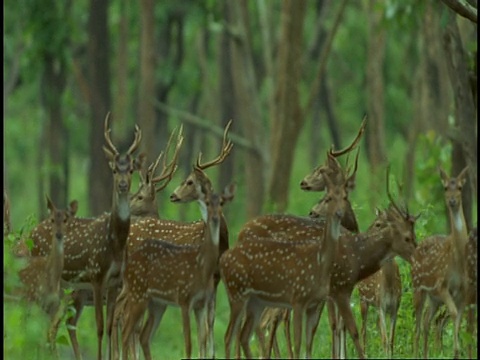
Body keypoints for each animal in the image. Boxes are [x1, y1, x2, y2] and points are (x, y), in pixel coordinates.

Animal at [18, 195, 76, 356]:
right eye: (51, 219)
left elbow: (44, 339)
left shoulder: (51, 307)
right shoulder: (32, 300)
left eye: (66, 219)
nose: (59, 234)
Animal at [28, 114, 142, 360]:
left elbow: (109, 328)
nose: (122, 185)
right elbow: (99, 326)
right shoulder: (96, 275)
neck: (115, 243)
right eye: (114, 169)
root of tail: (29, 235)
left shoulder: (115, 282)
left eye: (130, 170)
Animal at [410, 167, 470, 358]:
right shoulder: (441, 286)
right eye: (445, 187)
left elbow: (458, 318)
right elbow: (453, 313)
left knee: (427, 321)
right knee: (417, 326)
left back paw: (426, 354)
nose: (452, 201)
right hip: (418, 288)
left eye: (460, 187)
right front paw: (455, 351)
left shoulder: (463, 292)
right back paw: (416, 354)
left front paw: (456, 352)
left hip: (433, 299)